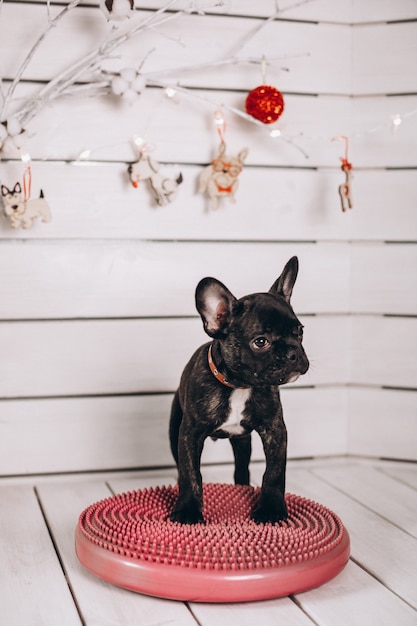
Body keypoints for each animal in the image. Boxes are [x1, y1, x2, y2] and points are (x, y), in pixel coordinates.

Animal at [169, 256, 308, 524]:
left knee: (242, 466)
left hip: (243, 442)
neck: (240, 385)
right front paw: (188, 510)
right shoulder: (189, 434)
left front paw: (271, 509)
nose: (294, 353)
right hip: (174, 430)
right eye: (261, 341)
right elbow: (191, 473)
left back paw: (242, 487)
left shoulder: (275, 431)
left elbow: (274, 473)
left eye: (300, 331)